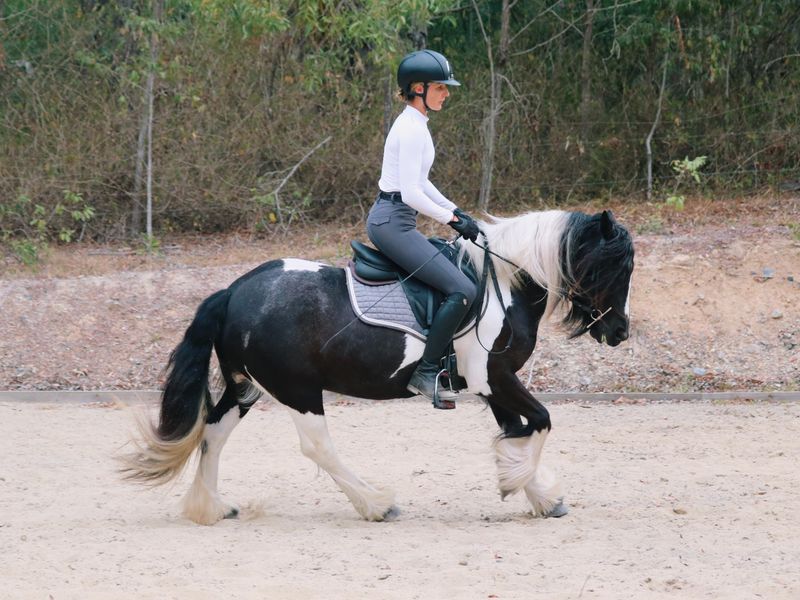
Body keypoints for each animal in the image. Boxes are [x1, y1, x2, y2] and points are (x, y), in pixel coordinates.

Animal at [120, 209, 634, 524]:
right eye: (618, 267)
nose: (620, 331)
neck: (503, 283)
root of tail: (233, 291)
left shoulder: (491, 385)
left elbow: (518, 430)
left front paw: (537, 494)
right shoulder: (495, 378)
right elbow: (540, 422)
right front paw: (520, 484)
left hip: (246, 387)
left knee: (213, 432)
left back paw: (209, 508)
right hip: (297, 390)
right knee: (317, 446)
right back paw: (376, 504)